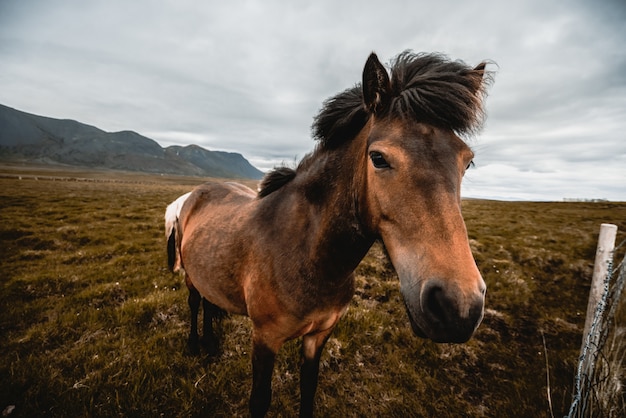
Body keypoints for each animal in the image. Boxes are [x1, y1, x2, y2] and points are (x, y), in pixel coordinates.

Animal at [166, 50, 492, 416]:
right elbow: (260, 400)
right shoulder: (264, 338)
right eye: (378, 158)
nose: (457, 306)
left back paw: (210, 344)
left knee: (210, 303)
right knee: (195, 302)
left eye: (467, 162)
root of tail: (195, 194)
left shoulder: (319, 334)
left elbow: (308, 389)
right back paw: (195, 344)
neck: (308, 254)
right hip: (190, 276)